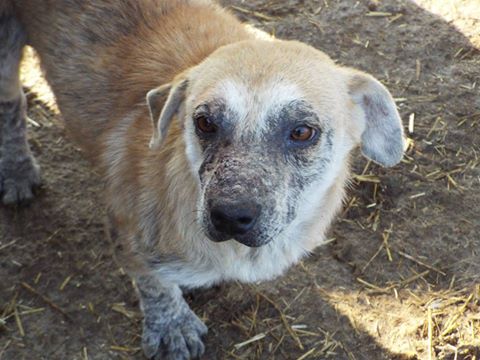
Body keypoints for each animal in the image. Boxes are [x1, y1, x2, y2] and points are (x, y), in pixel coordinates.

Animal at [0, 1, 404, 358]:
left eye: (303, 131)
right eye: (204, 122)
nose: (230, 216)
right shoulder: (125, 226)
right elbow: (153, 282)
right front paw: (171, 328)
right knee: (11, 105)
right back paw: (17, 172)